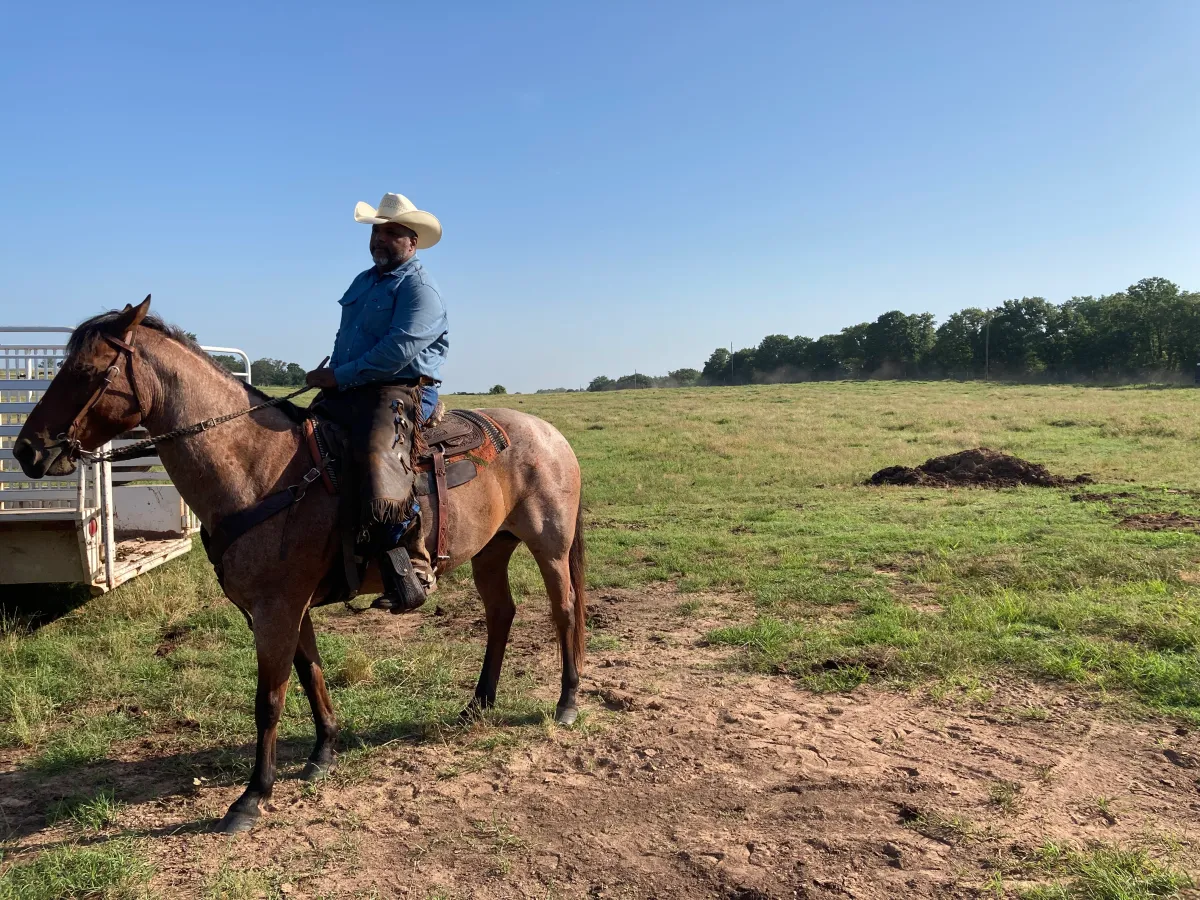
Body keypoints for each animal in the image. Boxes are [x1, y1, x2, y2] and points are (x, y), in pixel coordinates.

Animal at [13, 297, 586, 833]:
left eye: (88, 372)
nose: (27, 452)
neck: (260, 469)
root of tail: (550, 433)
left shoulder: (276, 609)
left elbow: (269, 699)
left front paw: (251, 797)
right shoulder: (285, 608)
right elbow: (310, 675)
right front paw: (322, 754)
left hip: (550, 546)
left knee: (564, 611)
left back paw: (567, 702)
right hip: (493, 550)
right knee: (501, 615)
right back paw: (478, 704)